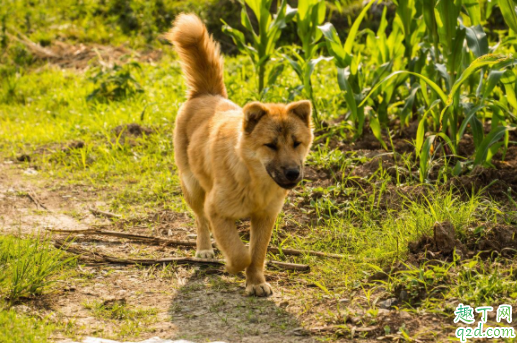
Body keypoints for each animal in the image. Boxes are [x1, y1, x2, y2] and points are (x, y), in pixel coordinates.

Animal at [167, 14, 312, 298]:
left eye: (296, 143)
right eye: (271, 145)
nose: (293, 173)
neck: (254, 181)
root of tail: (207, 94)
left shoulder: (265, 217)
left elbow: (257, 254)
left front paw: (255, 281)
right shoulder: (217, 210)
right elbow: (239, 252)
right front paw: (232, 266)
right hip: (192, 187)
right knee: (200, 220)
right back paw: (204, 249)